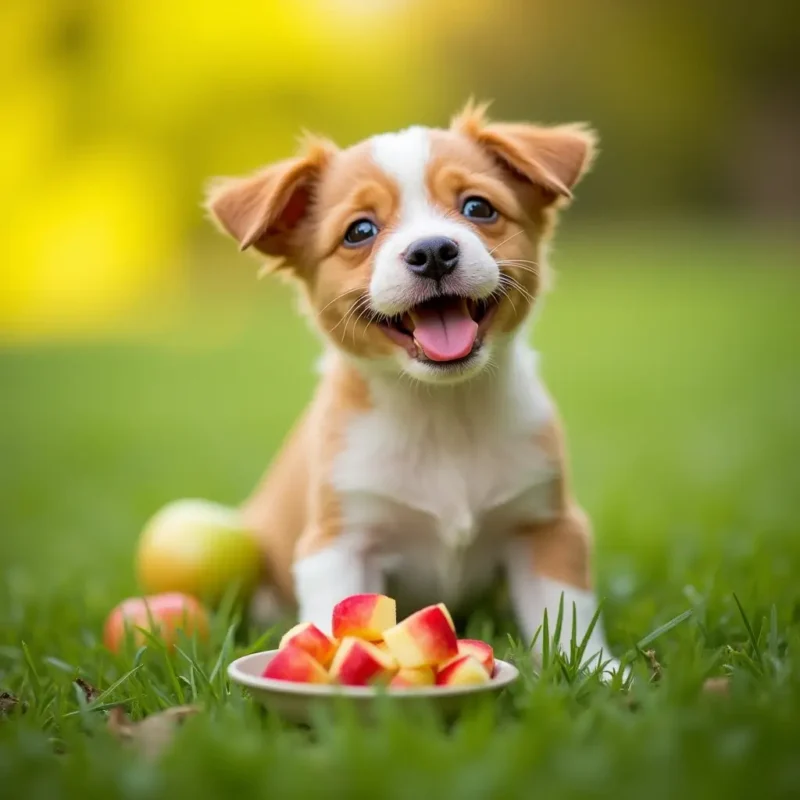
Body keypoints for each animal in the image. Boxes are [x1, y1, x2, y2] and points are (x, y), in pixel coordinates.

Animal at [205, 101, 620, 676]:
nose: (433, 251)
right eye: (359, 230)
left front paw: (605, 675)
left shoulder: (549, 526)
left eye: (478, 207)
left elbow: (572, 617)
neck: (441, 410)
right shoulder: (339, 543)